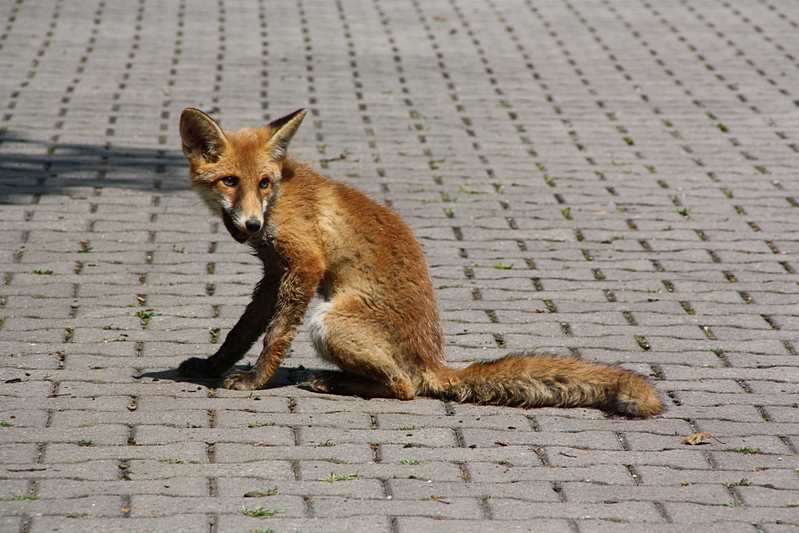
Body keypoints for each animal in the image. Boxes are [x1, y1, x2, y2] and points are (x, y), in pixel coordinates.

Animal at [175, 107, 663, 417]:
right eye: (230, 181)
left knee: (406, 388)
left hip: (328, 321)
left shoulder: (304, 264)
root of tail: (433, 359)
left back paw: (334, 383)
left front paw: (256, 381)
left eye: (263, 182)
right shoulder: (274, 272)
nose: (252, 224)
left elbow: (274, 336)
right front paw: (212, 366)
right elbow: (241, 332)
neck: (280, 200)